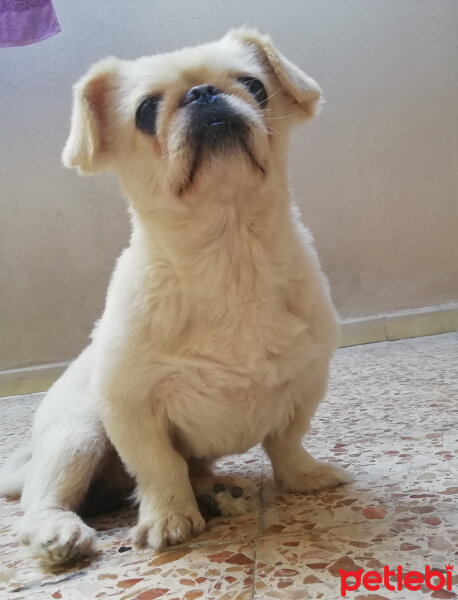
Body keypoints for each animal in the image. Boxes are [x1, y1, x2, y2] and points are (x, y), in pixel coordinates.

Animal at [0, 27, 348, 564]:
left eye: (255, 86)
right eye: (145, 112)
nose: (203, 92)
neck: (229, 257)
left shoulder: (305, 385)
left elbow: (286, 442)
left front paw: (303, 476)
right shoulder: (131, 408)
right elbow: (160, 467)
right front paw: (169, 518)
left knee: (194, 472)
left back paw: (221, 493)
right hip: (79, 435)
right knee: (43, 502)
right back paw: (60, 533)